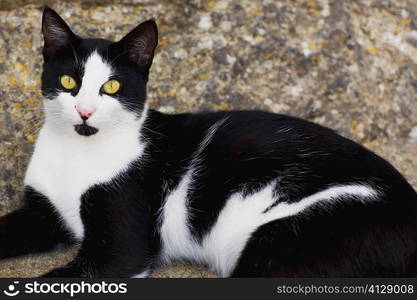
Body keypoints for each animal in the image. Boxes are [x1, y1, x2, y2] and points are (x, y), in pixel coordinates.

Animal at [0, 7, 416, 278]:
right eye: (69, 81)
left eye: (112, 86)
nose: (84, 111)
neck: (77, 154)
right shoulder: (42, 214)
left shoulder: (121, 250)